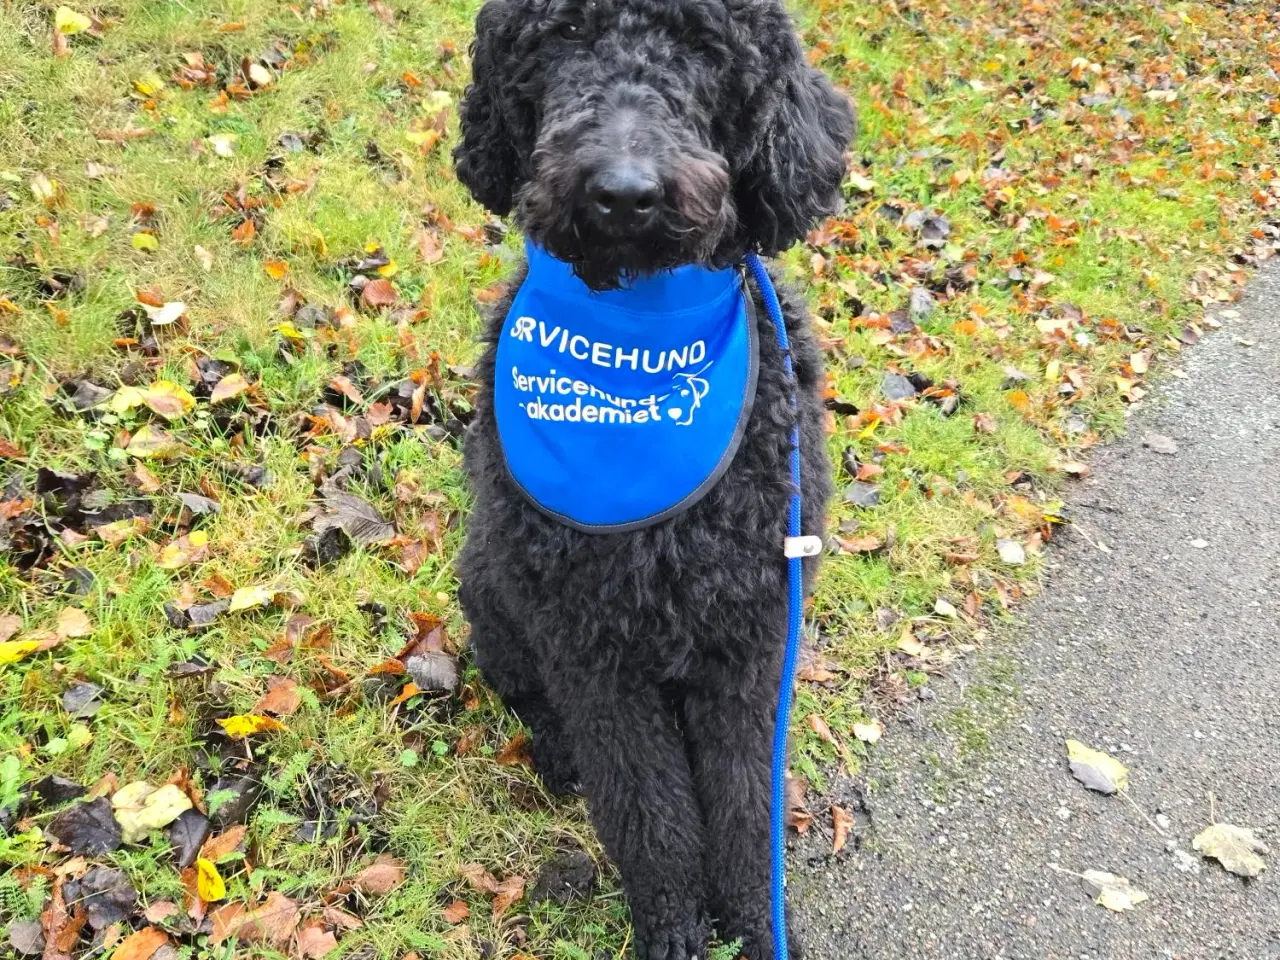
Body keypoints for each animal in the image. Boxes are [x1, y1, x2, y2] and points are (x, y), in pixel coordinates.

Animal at [455, 1, 855, 957]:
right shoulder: (593, 649)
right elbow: (649, 813)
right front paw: (675, 926)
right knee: (528, 694)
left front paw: (753, 918)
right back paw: (557, 753)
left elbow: (746, 802)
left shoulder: (752, 635)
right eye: (563, 39)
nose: (625, 192)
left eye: (705, 50)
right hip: (492, 587)